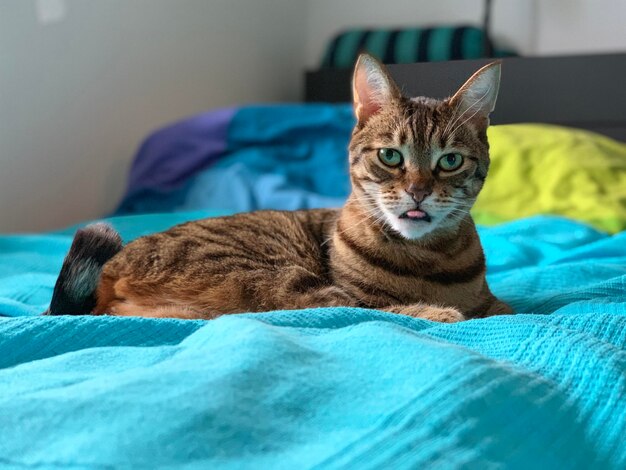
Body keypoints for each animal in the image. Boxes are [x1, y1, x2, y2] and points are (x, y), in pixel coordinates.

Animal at [45, 52, 512, 324]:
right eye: (390, 156)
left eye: (449, 161)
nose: (417, 191)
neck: (425, 259)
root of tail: (112, 267)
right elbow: (373, 306)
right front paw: (442, 311)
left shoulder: (495, 303)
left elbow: (503, 308)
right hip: (268, 271)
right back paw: (437, 313)